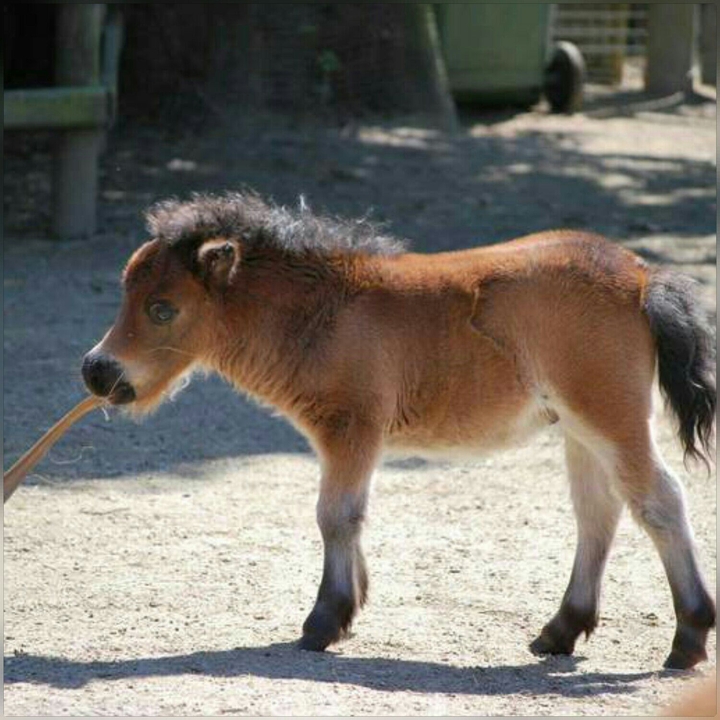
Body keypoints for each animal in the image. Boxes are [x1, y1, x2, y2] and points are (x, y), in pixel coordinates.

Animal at [82, 191, 716, 668]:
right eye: (126, 292)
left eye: (163, 309)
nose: (97, 371)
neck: (329, 313)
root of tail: (642, 276)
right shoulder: (351, 439)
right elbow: (349, 518)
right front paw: (348, 609)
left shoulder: (351, 429)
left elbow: (336, 516)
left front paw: (324, 621)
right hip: (581, 429)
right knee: (598, 515)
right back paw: (561, 631)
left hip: (609, 416)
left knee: (659, 502)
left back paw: (689, 636)